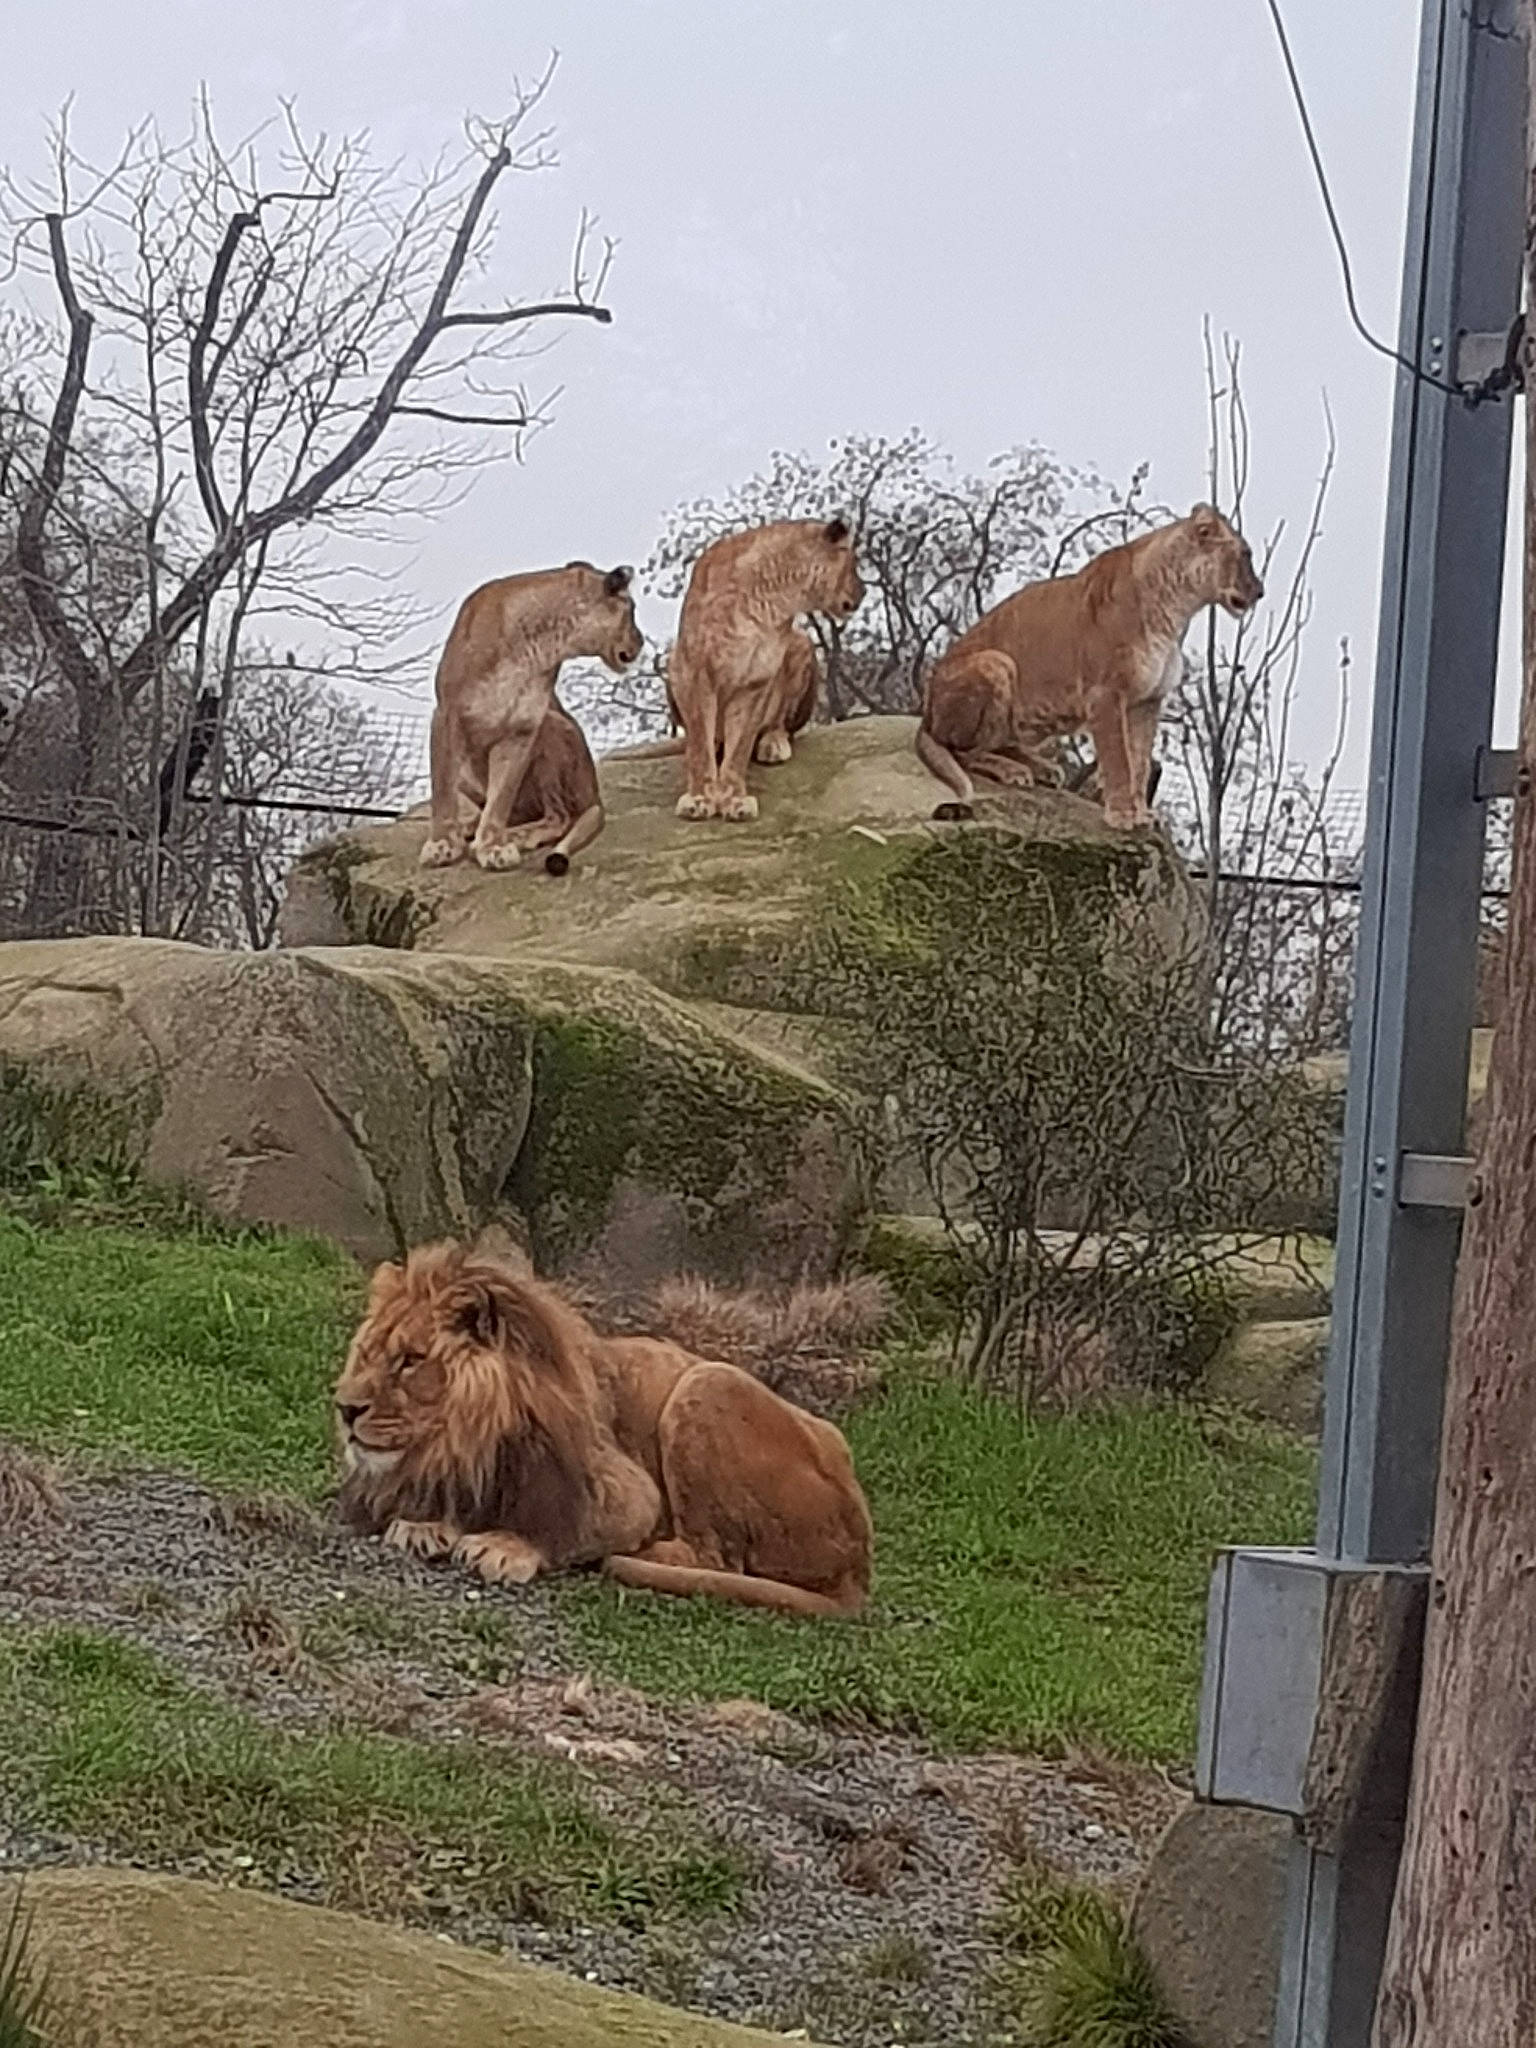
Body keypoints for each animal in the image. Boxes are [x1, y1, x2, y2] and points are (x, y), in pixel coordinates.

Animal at [333, 1240, 873, 1618]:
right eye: (367, 1353)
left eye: (411, 1360)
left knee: (716, 1558)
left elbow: (563, 1526)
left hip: (709, 1381)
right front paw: (424, 1524)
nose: (345, 1409)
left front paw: (503, 1546)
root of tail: (859, 1567)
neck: (465, 1441)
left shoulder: (625, 1489)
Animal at [420, 561, 642, 873]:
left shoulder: (523, 729)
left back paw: (513, 836)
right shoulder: (448, 714)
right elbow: (442, 789)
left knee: (559, 816)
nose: (641, 641)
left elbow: (501, 796)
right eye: (632, 609)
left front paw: (493, 847)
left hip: (552, 725)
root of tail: (595, 795)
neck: (538, 643)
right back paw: (470, 828)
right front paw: (441, 844)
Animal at [667, 518, 864, 821]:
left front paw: (735, 799)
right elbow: (699, 744)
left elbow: (741, 746)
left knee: (782, 726)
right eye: (853, 562)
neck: (772, 596)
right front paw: (699, 799)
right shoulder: (697, 670)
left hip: (801, 643)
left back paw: (773, 744)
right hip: (672, 656)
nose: (863, 593)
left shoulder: (756, 680)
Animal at [916, 506, 1263, 829]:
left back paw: (1042, 768)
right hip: (996, 662)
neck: (1177, 609)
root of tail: (926, 715)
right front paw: (1122, 815)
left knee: (998, 741)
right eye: (1245, 554)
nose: (1260, 592)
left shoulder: (1148, 701)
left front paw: (1142, 813)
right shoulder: (1106, 693)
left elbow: (1140, 762)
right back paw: (1013, 770)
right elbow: (1119, 760)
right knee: (961, 750)